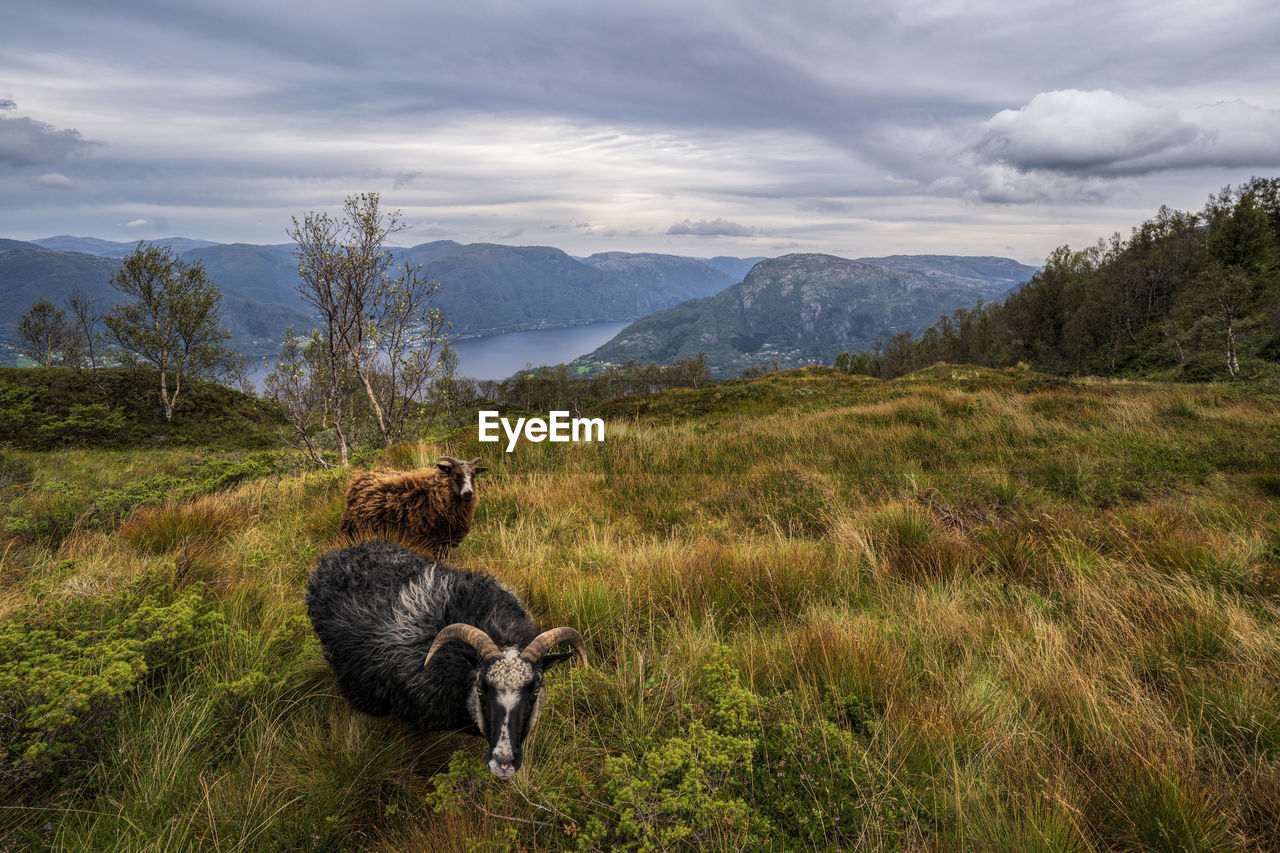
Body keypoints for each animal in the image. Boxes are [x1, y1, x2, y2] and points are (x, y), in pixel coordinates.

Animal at [340, 455, 483, 555]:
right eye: (456, 474)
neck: (432, 495)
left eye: (473, 475)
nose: (468, 493)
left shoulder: (443, 542)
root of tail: (360, 477)